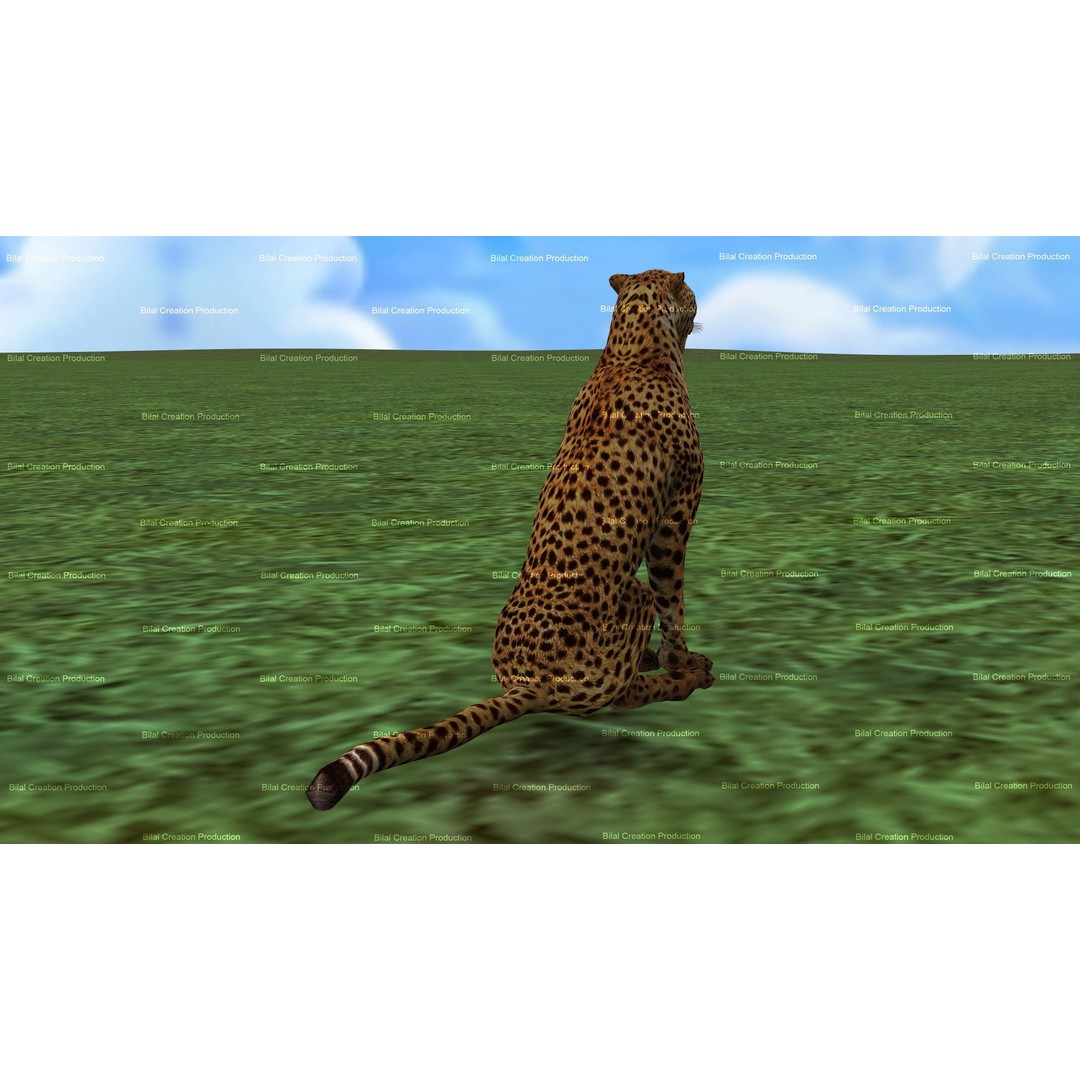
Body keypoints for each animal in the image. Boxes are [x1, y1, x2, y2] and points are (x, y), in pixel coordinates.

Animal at [307, 269, 714, 810]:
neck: (632, 349)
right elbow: (674, 601)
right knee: (624, 693)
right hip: (632, 596)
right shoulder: (674, 519)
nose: (698, 302)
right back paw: (684, 679)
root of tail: (526, 681)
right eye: (688, 291)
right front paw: (681, 660)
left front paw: (672, 657)